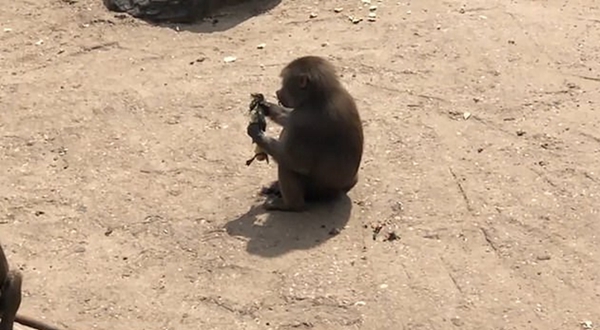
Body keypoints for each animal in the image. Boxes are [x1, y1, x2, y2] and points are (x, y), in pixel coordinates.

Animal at [246, 55, 364, 211]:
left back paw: (290, 205)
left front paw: (255, 132)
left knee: (286, 165)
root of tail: (343, 188)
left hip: (316, 191)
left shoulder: (304, 120)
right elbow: (287, 119)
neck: (321, 95)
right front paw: (265, 106)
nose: (278, 92)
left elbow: (295, 162)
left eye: (284, 82)